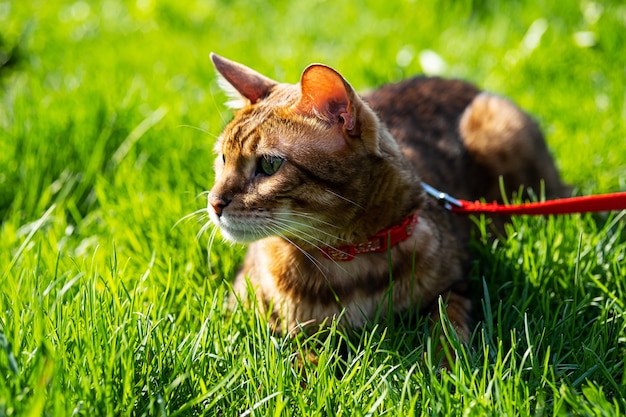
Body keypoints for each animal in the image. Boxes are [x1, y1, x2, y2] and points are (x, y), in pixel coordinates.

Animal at [205, 52, 564, 348]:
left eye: (269, 165)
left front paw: (445, 369)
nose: (215, 202)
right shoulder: (241, 309)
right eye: (223, 158)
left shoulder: (457, 283)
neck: (349, 259)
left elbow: (448, 328)